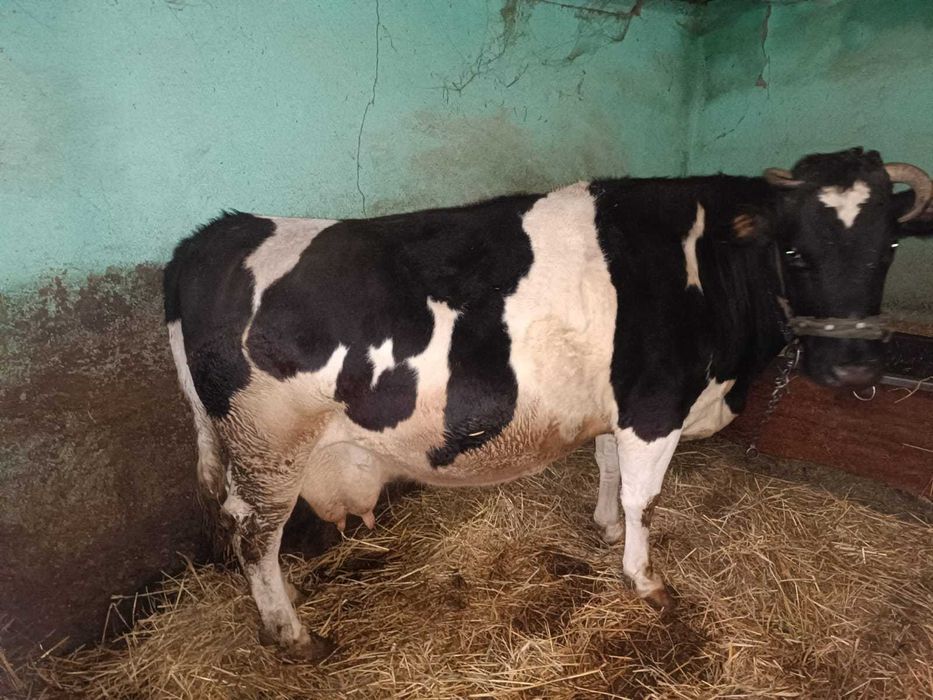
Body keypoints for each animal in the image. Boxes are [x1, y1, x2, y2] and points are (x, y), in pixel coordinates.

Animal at [163, 147, 932, 659]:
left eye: (889, 245)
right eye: (795, 251)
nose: (854, 363)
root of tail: (218, 233)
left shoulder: (617, 404)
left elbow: (608, 468)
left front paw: (604, 530)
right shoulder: (655, 404)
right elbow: (644, 498)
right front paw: (645, 579)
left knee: (244, 524)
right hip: (272, 445)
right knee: (253, 534)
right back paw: (290, 632)